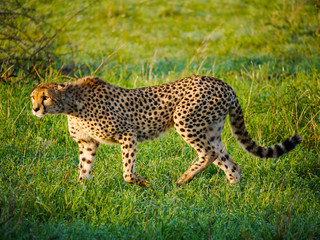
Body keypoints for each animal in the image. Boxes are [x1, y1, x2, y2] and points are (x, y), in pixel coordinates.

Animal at [30, 76, 302, 187]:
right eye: (33, 97)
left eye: (45, 97)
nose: (34, 109)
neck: (70, 104)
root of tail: (222, 82)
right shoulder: (88, 143)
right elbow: (84, 169)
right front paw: (80, 191)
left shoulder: (128, 133)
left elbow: (127, 171)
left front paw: (141, 182)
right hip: (212, 130)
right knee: (230, 162)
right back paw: (232, 192)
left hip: (185, 120)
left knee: (209, 154)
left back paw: (183, 179)